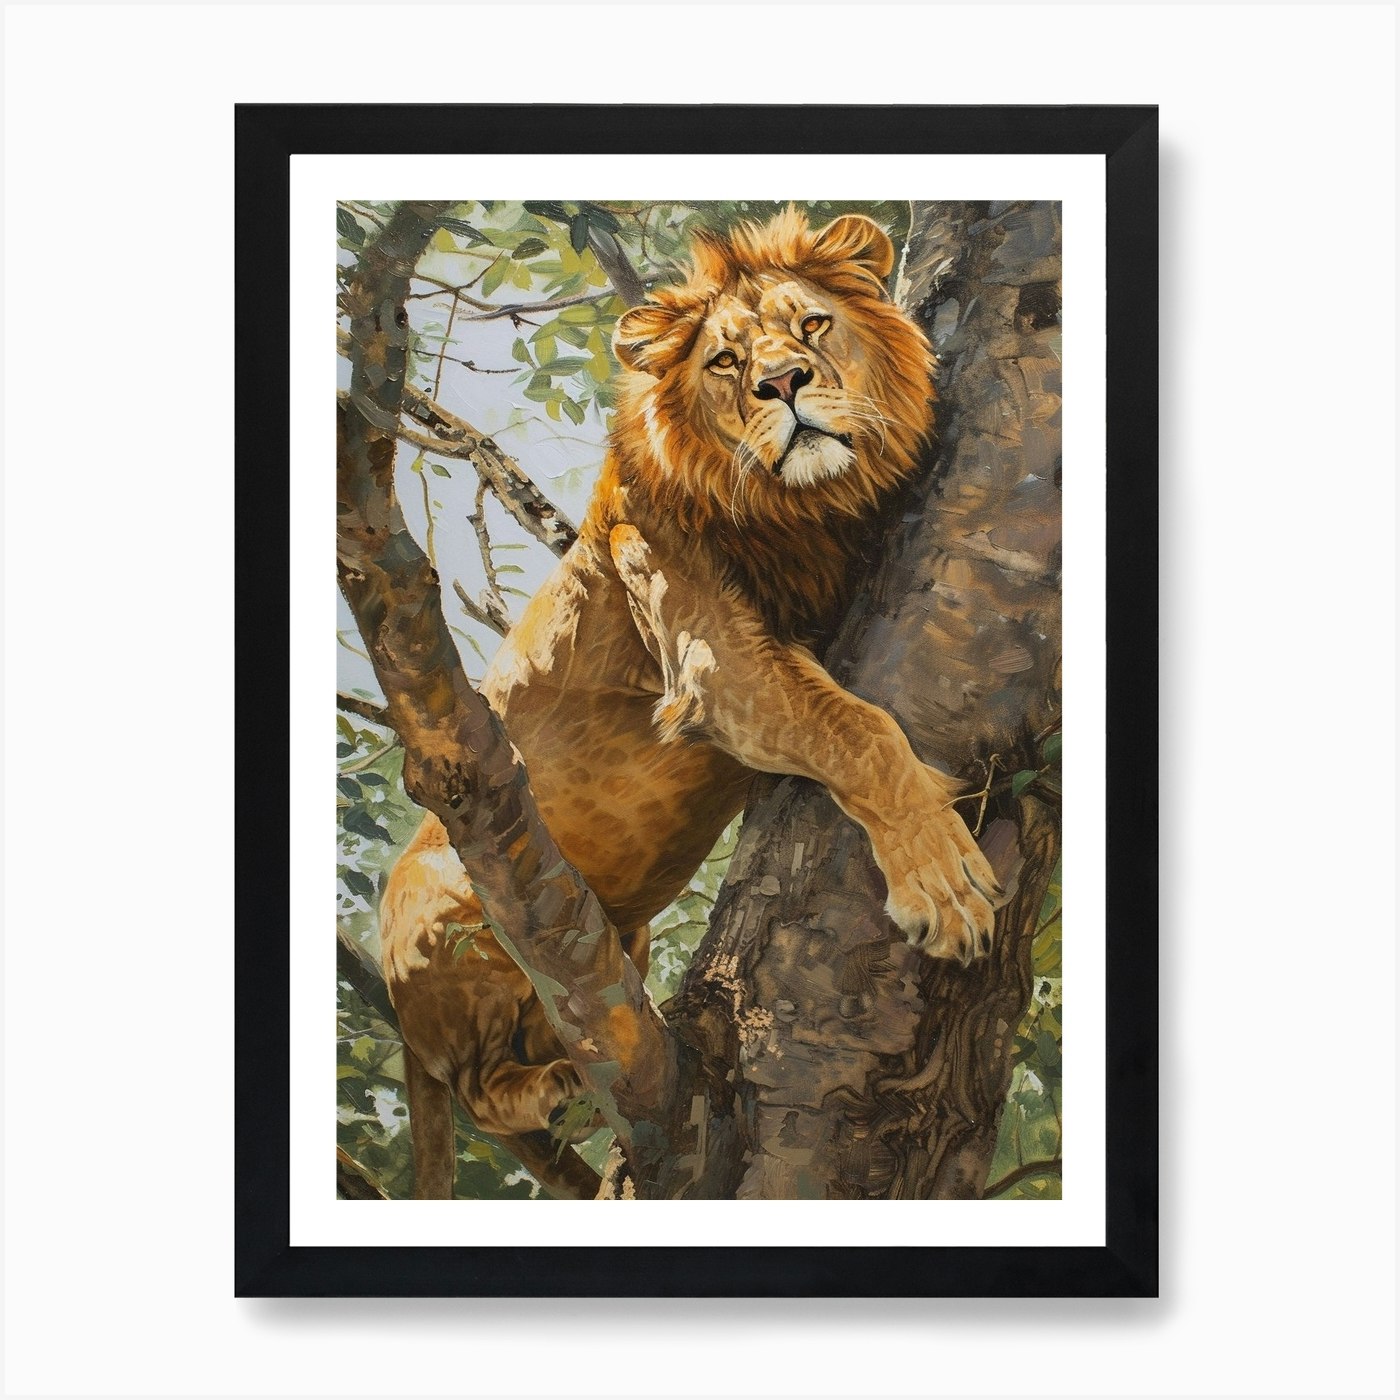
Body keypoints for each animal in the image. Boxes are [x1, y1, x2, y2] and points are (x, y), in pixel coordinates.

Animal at [378, 208, 1002, 1198]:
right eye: (725, 361)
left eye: (812, 325)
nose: (783, 384)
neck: (800, 510)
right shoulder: (710, 654)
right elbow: (858, 729)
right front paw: (945, 885)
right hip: (460, 912)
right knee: (481, 1092)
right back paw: (553, 1084)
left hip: (614, 946)